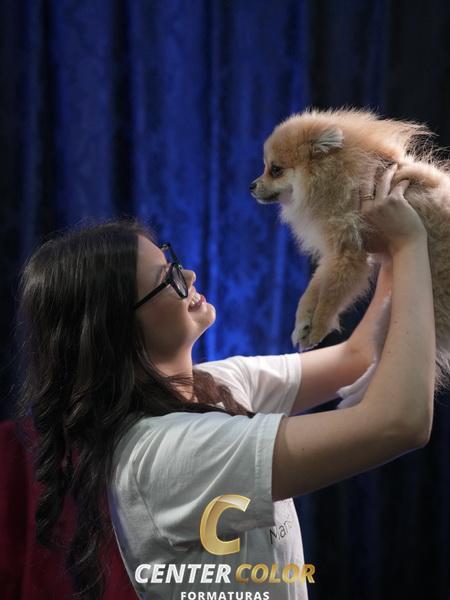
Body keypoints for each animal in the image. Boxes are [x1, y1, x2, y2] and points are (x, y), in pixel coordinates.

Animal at [250, 107, 450, 407]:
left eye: (275, 169)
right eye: (266, 167)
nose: (251, 185)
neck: (337, 175)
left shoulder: (348, 253)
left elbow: (330, 296)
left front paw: (318, 327)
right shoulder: (332, 254)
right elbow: (312, 291)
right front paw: (303, 323)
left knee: (386, 367)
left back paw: (354, 396)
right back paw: (352, 394)